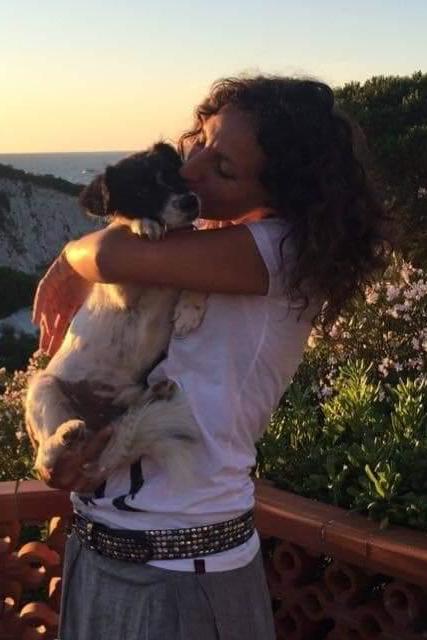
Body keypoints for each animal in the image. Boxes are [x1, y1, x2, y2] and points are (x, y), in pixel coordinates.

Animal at [26, 143, 206, 482]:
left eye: (174, 173)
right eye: (141, 191)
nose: (190, 201)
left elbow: (192, 280)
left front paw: (191, 309)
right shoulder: (124, 289)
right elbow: (124, 225)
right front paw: (141, 223)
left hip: (124, 397)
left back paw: (155, 391)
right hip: (44, 389)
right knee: (47, 454)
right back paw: (65, 435)